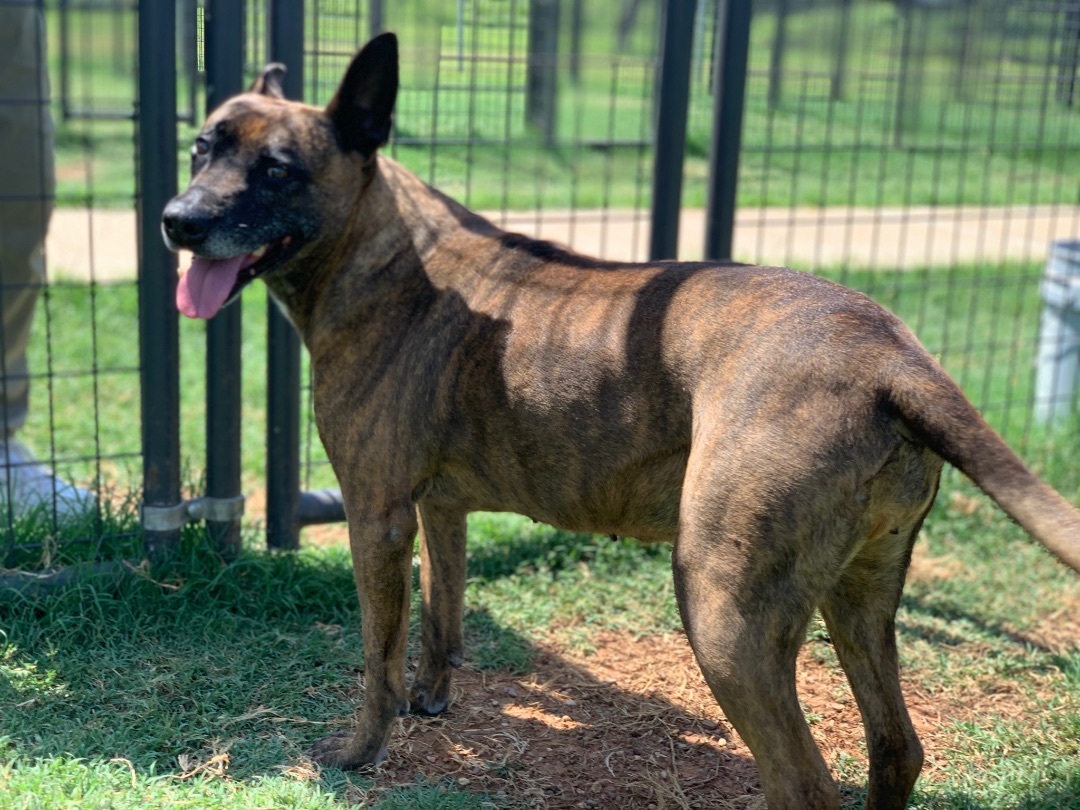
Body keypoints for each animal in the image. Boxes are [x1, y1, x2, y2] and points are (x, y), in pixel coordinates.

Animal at [162, 33, 1080, 810]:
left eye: (277, 169)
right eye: (203, 147)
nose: (178, 221)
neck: (384, 249)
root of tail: (890, 353)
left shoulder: (375, 516)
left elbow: (374, 658)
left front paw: (359, 752)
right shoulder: (439, 508)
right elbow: (442, 615)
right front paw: (433, 696)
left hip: (724, 612)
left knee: (806, 785)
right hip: (861, 594)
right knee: (896, 748)